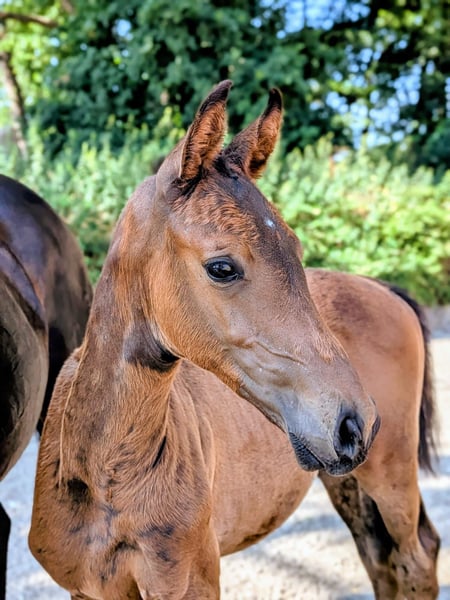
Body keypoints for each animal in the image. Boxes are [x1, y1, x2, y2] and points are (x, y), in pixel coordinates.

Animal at [29, 81, 439, 599]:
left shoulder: (191, 584)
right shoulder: (87, 588)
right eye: (222, 267)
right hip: (350, 480)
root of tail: (384, 288)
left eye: (296, 250)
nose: (355, 423)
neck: (104, 479)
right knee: (381, 559)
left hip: (391, 475)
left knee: (416, 557)